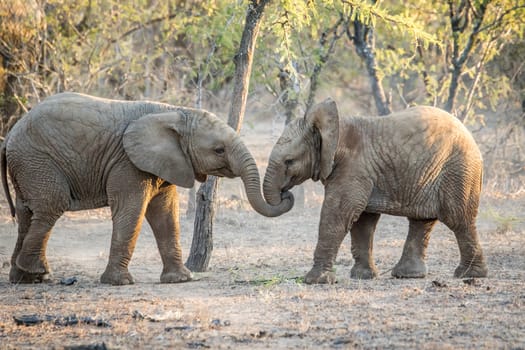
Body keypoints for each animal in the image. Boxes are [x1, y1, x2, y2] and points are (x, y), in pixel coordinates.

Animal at [2, 92, 292, 284]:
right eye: (219, 150)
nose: (287, 192)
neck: (175, 112)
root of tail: (10, 137)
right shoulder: (128, 163)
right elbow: (132, 211)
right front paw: (119, 283)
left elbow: (166, 215)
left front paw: (181, 279)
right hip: (37, 161)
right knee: (51, 206)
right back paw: (38, 273)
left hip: (27, 164)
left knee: (27, 213)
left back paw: (24, 279)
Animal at [262, 98, 488, 284]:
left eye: (289, 161)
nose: (285, 194)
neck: (336, 127)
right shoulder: (362, 173)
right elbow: (363, 221)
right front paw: (363, 277)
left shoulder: (354, 169)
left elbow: (339, 214)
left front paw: (316, 281)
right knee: (422, 220)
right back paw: (408, 275)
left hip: (459, 170)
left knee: (458, 218)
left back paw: (469, 275)